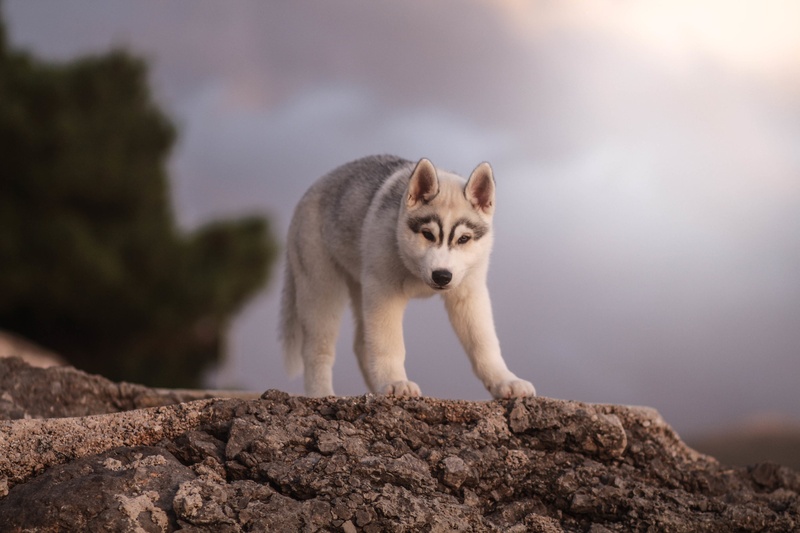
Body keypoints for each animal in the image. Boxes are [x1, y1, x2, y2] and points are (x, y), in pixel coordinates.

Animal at [280, 155, 535, 399]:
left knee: (362, 344)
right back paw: (322, 394)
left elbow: (484, 343)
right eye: (427, 234)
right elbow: (389, 343)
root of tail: (312, 189)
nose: (442, 276)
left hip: (362, 286)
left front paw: (505, 381)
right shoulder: (384, 291)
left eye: (463, 239)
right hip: (322, 287)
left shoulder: (469, 293)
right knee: (317, 349)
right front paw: (395, 381)